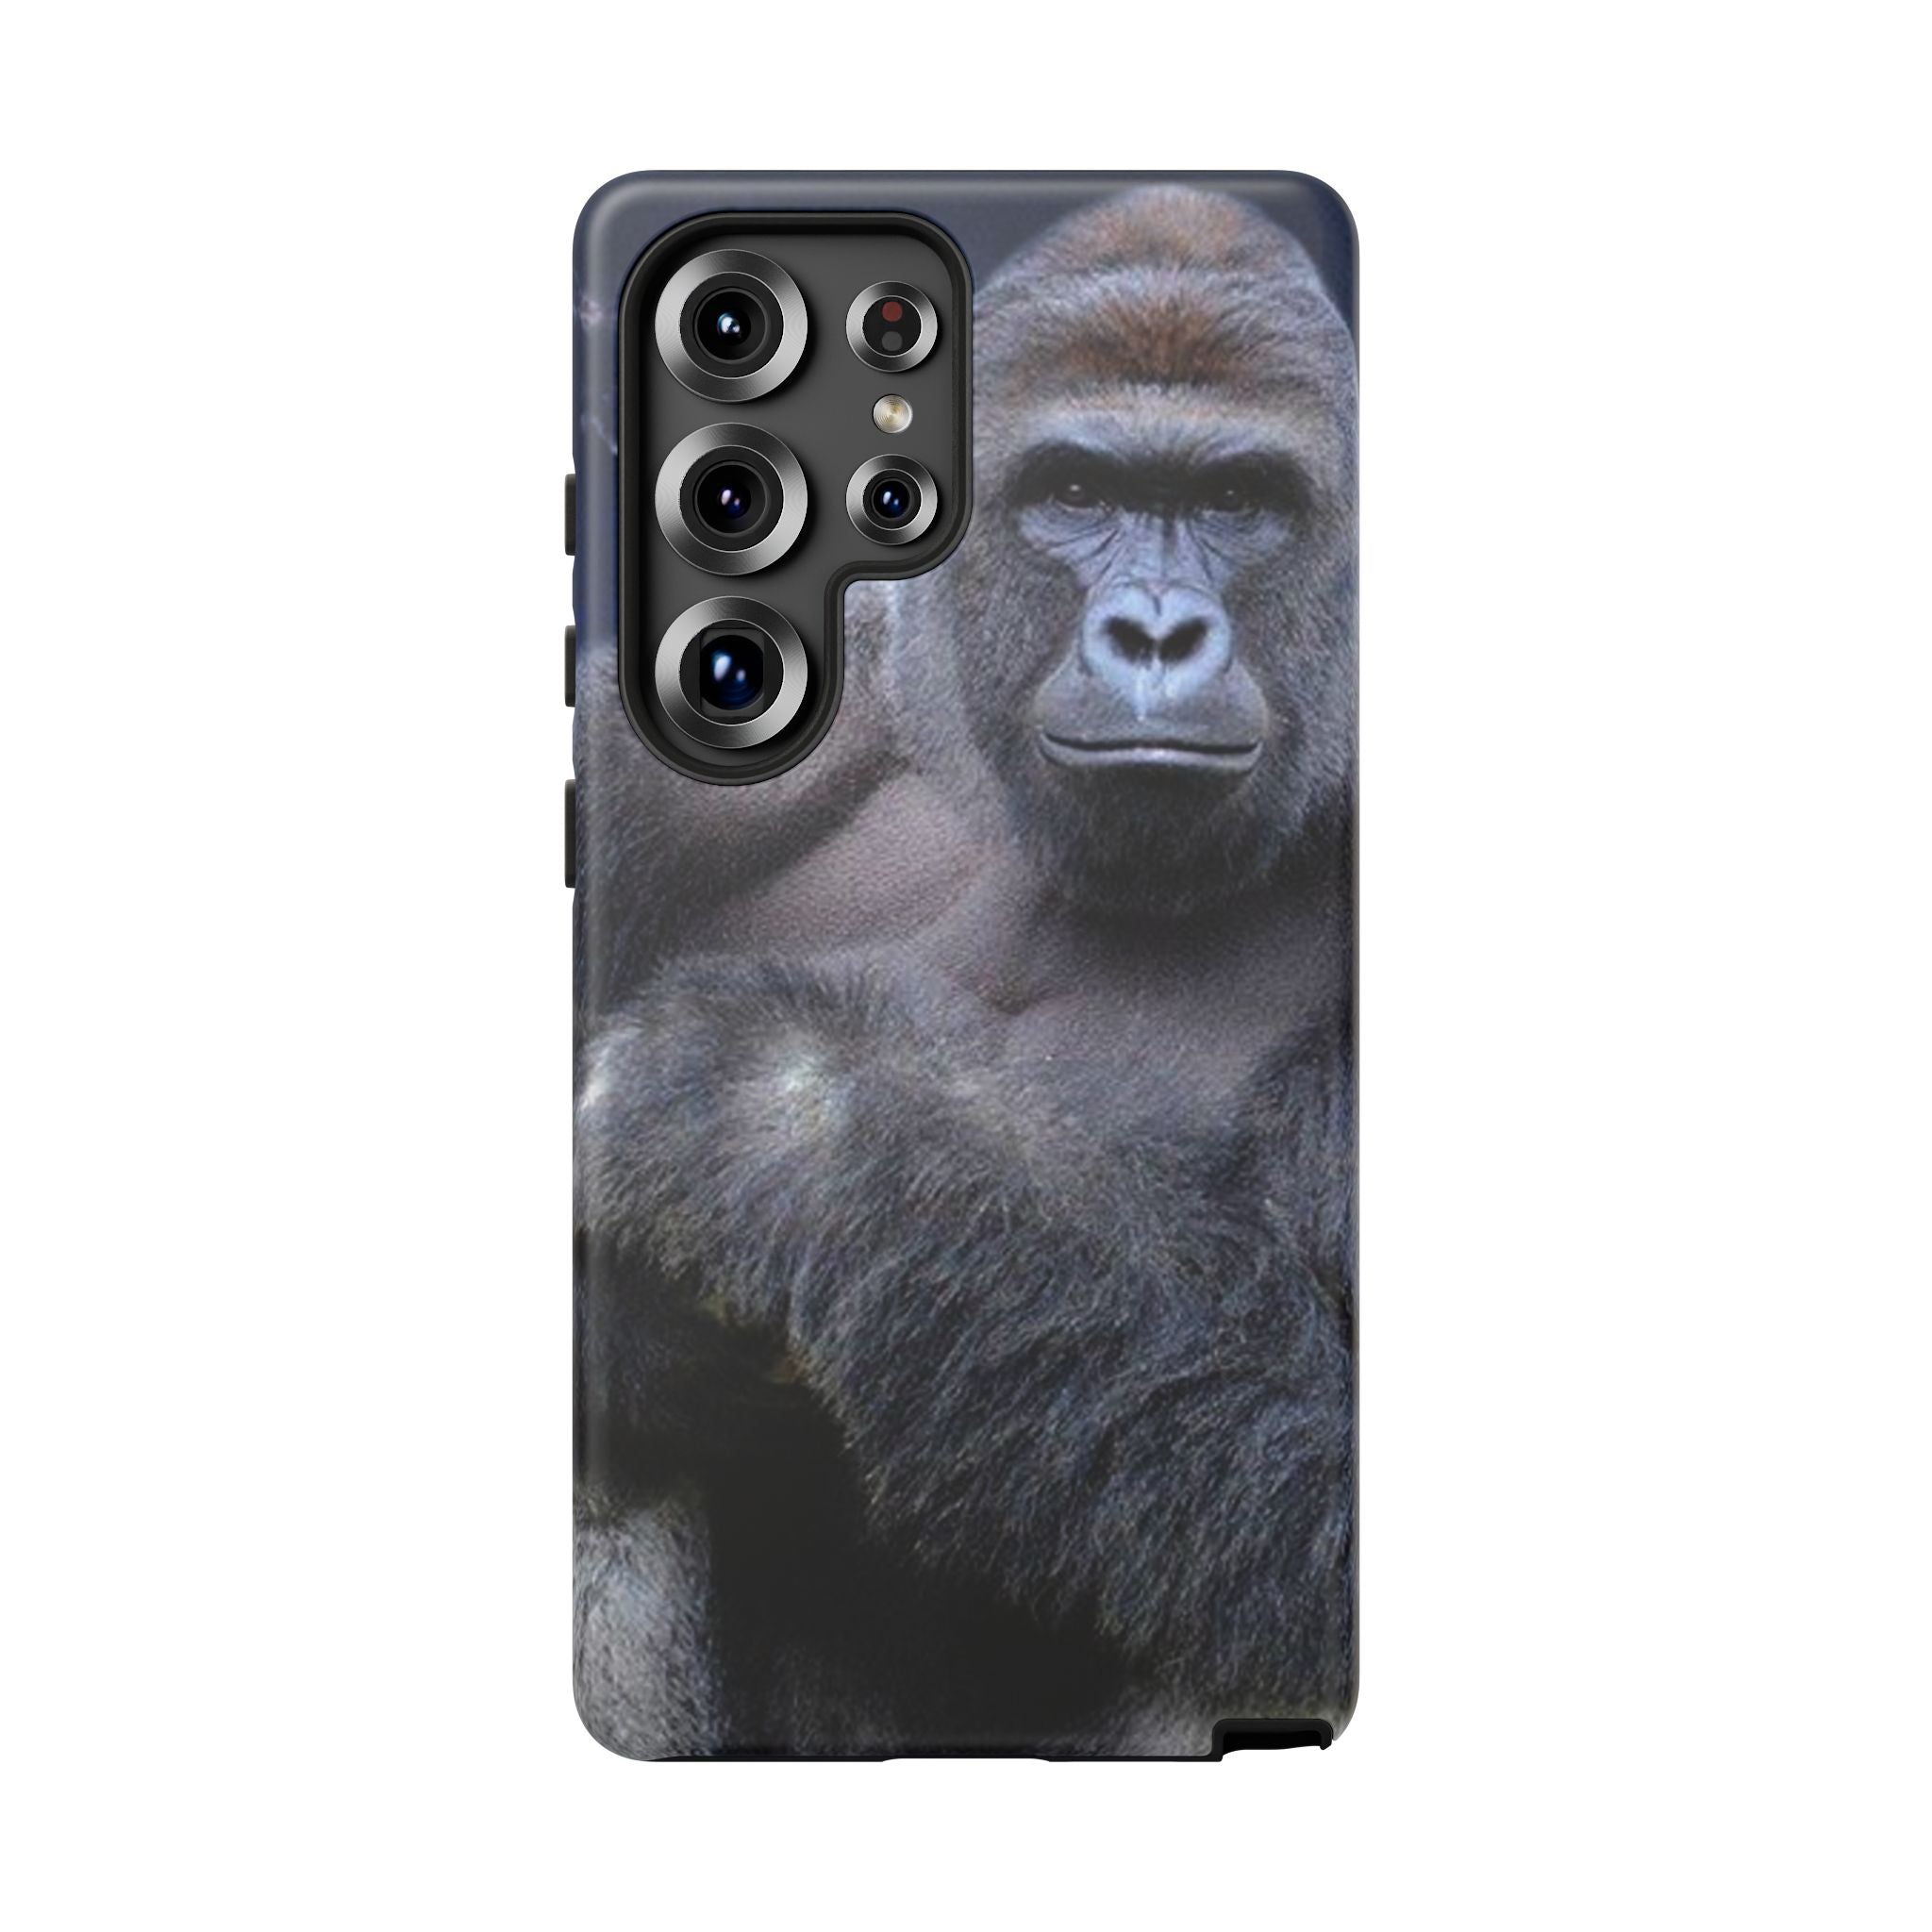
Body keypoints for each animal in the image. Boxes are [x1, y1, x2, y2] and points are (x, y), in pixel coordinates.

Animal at [574, 186, 1357, 1755]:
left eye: (1240, 506)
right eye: (1076, 492)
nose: (1157, 634)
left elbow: (1330, 1501)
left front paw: (784, 1120)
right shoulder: (640, 772)